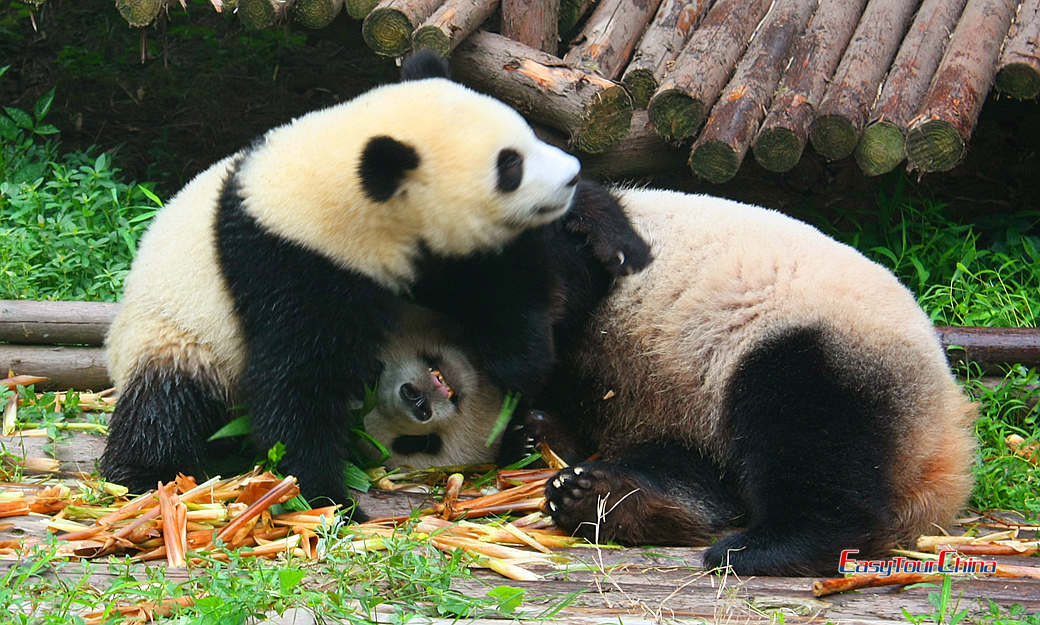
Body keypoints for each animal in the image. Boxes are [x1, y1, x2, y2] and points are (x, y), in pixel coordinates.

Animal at [99, 51, 648, 513]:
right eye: (508, 166)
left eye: (529, 136)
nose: (572, 174)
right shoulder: (291, 262)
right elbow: (295, 377)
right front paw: (323, 497)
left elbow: (522, 285)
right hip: (177, 334)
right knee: (166, 405)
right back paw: (144, 474)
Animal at [361, 186, 977, 574]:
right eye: (415, 442)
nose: (416, 397)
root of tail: (944, 449)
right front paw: (536, 435)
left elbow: (561, 276)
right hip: (697, 414)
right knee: (704, 473)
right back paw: (605, 499)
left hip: (820, 340)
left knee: (809, 428)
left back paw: (769, 547)